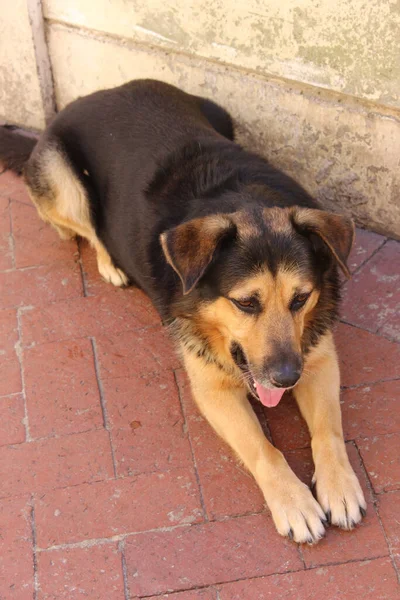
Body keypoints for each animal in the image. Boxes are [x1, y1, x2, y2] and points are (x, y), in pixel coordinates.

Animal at [0, 79, 366, 544]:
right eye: (246, 302)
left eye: (301, 298)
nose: (286, 379)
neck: (246, 199)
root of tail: (100, 92)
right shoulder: (212, 390)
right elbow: (264, 450)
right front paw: (294, 500)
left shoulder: (316, 359)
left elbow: (329, 431)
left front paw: (339, 484)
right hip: (63, 181)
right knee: (87, 229)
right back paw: (111, 264)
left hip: (221, 113)